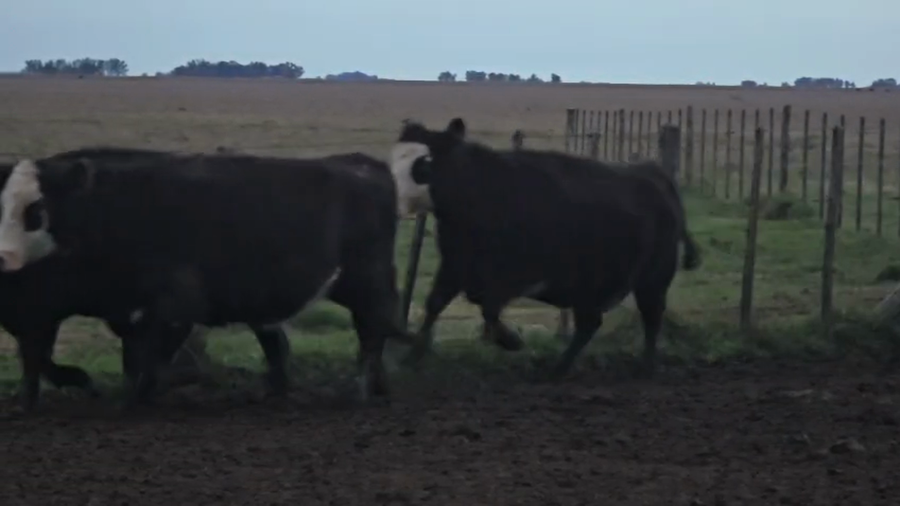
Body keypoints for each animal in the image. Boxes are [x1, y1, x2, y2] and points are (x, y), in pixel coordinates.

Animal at [0, 147, 413, 409]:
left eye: (35, 209)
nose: (5, 258)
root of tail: (362, 163)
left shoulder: (174, 307)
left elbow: (150, 363)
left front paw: (131, 397)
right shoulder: (122, 312)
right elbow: (127, 360)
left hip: (366, 284)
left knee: (372, 332)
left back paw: (362, 391)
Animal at [388, 118, 701, 378]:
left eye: (422, 164)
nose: (392, 202)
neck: (481, 192)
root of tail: (654, 175)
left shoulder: (508, 275)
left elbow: (488, 308)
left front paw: (511, 341)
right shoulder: (456, 264)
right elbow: (435, 304)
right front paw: (413, 355)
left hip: (653, 279)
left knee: (651, 318)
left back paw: (645, 366)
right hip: (591, 288)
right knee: (590, 324)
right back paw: (559, 368)